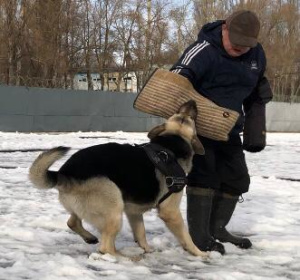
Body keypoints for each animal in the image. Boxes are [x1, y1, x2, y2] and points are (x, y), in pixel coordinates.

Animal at [29, 99, 207, 260]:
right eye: (188, 117)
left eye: (183, 114)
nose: (192, 101)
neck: (173, 141)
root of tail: (63, 173)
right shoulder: (170, 212)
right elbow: (186, 236)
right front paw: (199, 253)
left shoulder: (133, 212)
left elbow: (141, 233)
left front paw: (146, 249)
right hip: (114, 209)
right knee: (105, 248)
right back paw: (126, 257)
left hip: (92, 208)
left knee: (73, 222)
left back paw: (91, 238)